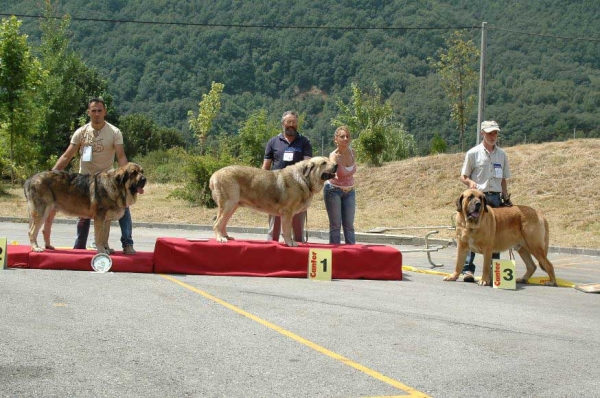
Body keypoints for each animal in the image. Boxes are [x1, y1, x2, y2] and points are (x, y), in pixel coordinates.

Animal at [210, 156, 338, 246]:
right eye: (323, 163)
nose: (336, 165)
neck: (303, 178)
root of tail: (214, 175)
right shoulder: (287, 213)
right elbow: (287, 230)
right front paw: (290, 243)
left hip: (233, 206)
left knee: (223, 222)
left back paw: (226, 237)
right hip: (229, 204)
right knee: (217, 223)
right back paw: (220, 238)